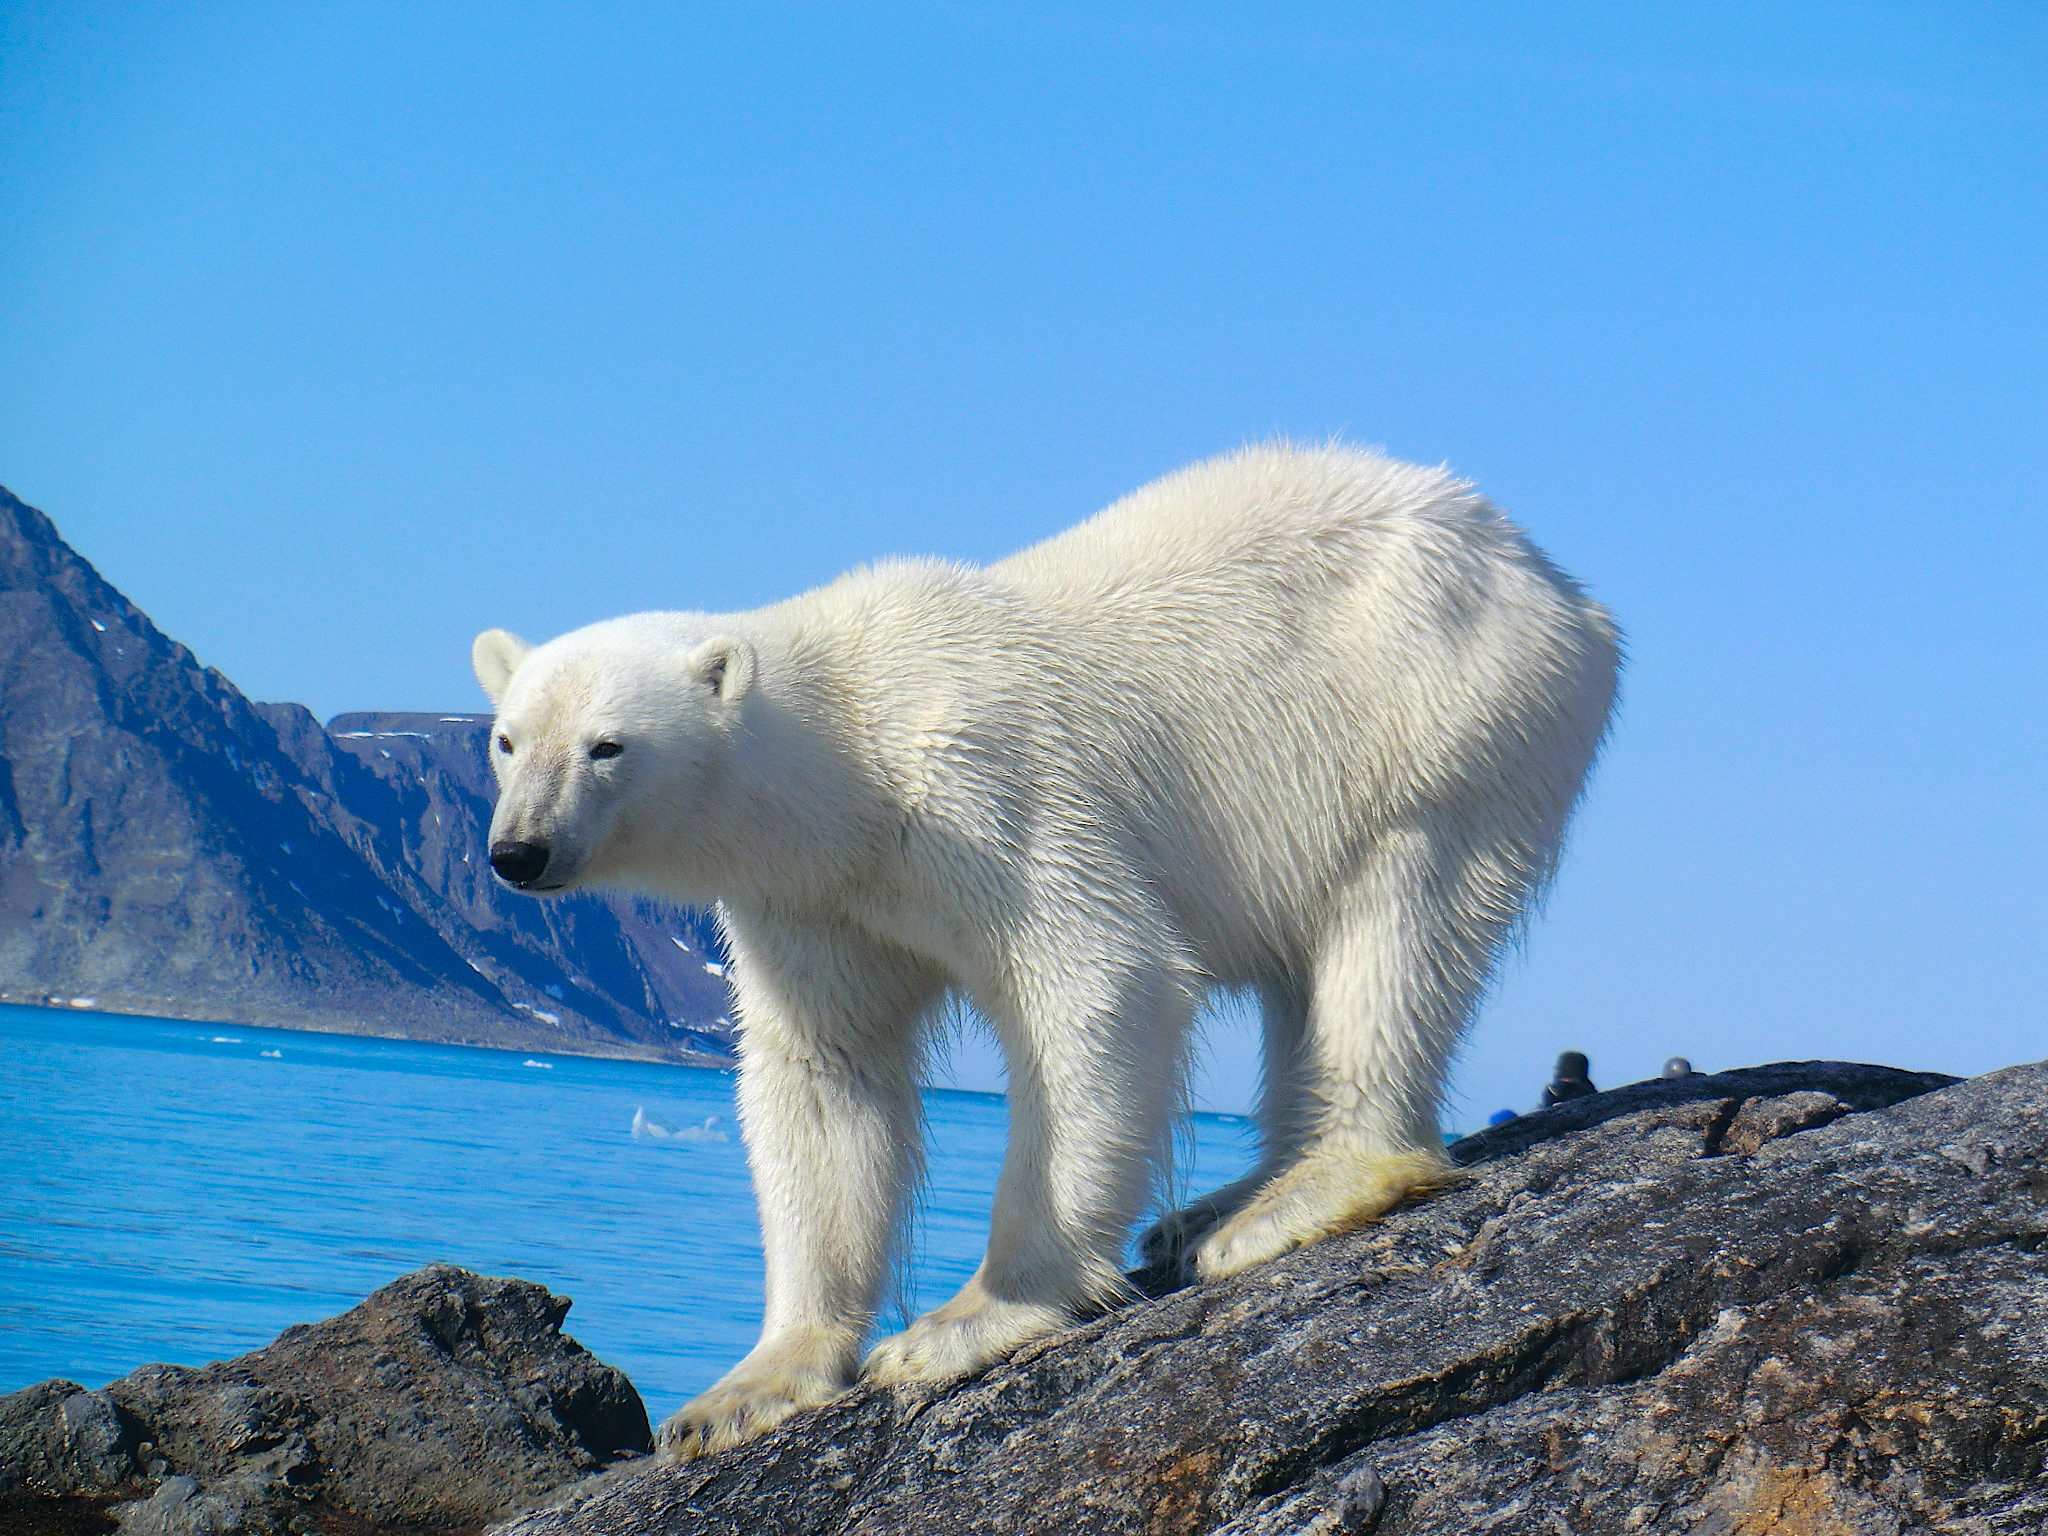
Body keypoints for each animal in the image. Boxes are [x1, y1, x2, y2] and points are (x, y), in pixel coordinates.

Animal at [470, 442, 1620, 1459]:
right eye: (509, 738)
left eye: (608, 745)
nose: (517, 852)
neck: (844, 755)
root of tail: (1548, 574)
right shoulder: (813, 899)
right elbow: (825, 1075)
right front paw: (743, 1392)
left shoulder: (982, 790)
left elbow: (1097, 979)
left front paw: (965, 1320)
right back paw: (1221, 1201)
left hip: (1436, 710)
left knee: (1393, 923)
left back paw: (1296, 1197)